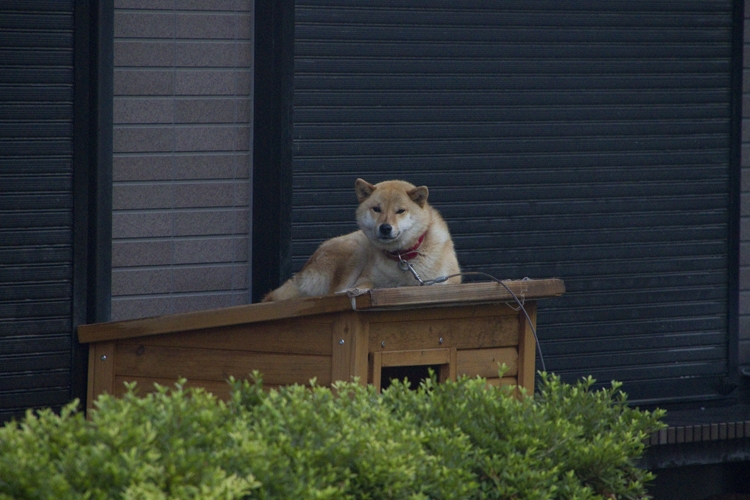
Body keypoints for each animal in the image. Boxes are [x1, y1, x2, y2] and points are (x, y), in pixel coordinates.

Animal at [264, 180, 464, 304]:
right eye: (376, 209)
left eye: (400, 211)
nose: (385, 228)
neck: (403, 257)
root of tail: (300, 274)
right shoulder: (365, 278)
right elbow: (365, 285)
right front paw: (357, 291)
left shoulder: (443, 282)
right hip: (355, 250)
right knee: (333, 292)